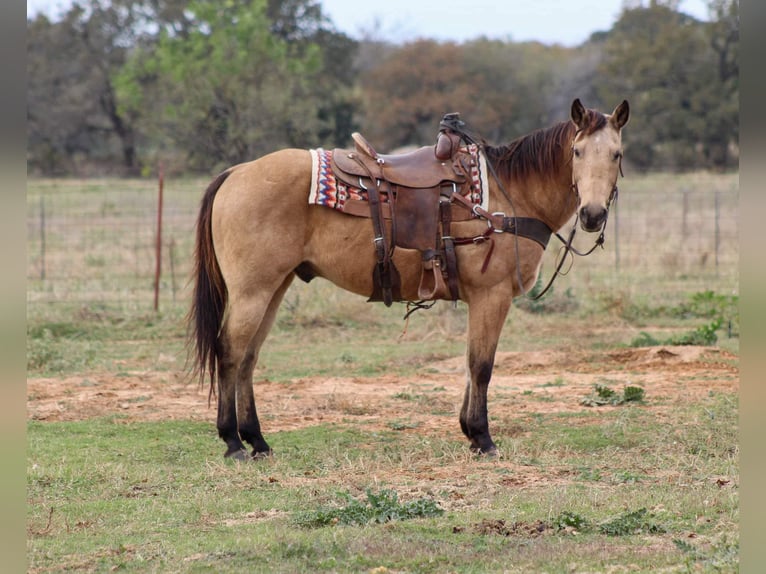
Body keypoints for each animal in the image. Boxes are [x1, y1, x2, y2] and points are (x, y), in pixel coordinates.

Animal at [188, 97, 632, 462]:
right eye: (576, 151)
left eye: (616, 154)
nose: (593, 214)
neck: (510, 198)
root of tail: (237, 173)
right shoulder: (491, 297)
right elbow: (481, 366)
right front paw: (483, 438)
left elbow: (470, 364)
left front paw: (469, 432)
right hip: (252, 291)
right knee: (230, 353)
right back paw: (233, 442)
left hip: (274, 288)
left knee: (248, 358)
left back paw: (257, 441)